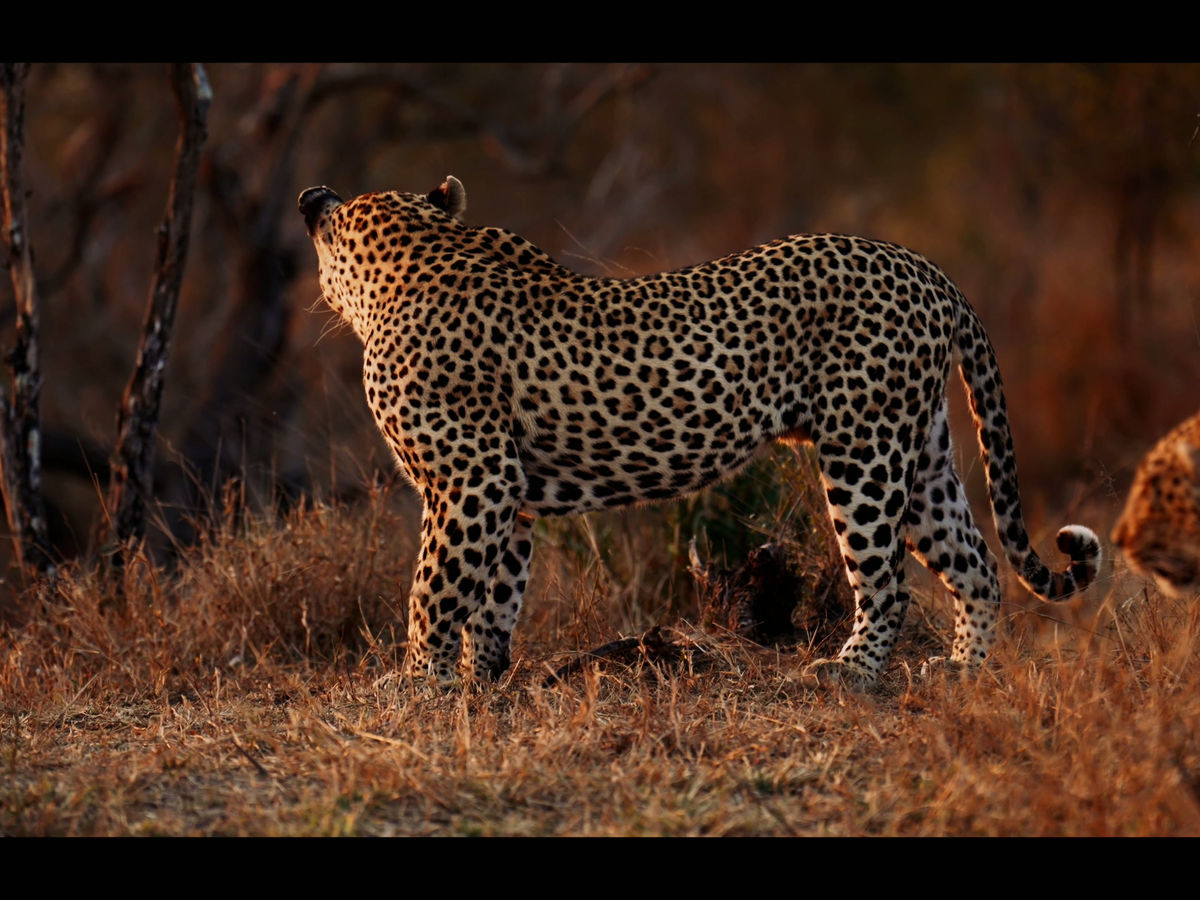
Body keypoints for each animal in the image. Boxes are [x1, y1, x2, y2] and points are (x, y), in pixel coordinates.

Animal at [298, 175, 1102, 687]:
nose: (312, 198)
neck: (410, 259)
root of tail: (930, 270)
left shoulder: (472, 481)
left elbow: (433, 590)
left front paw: (414, 684)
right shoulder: (507, 495)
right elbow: (491, 596)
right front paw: (477, 681)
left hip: (863, 453)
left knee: (888, 582)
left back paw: (849, 674)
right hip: (921, 452)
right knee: (978, 565)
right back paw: (963, 671)